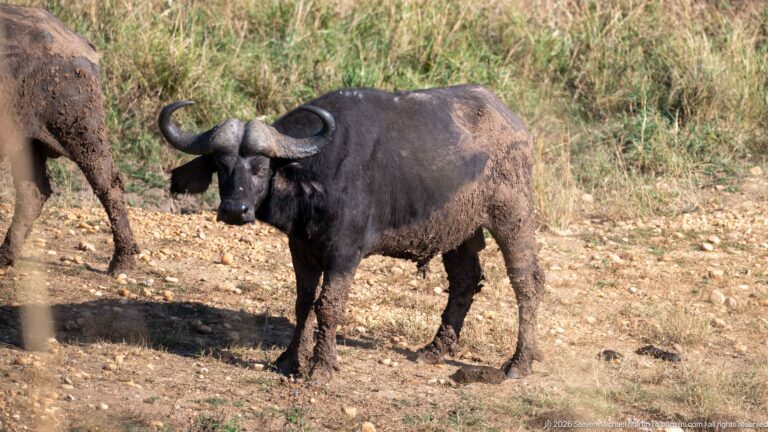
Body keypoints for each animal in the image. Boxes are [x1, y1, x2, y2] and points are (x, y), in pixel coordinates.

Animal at [0, 5, 138, 274]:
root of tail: (79, 41)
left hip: (81, 130)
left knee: (109, 185)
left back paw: (122, 262)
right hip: (27, 141)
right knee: (33, 192)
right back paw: (6, 255)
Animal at [159, 85, 543, 382]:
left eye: (260, 166)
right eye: (221, 165)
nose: (234, 210)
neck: (317, 173)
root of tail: (516, 127)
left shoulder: (344, 252)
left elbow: (329, 305)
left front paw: (321, 368)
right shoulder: (300, 247)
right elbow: (303, 302)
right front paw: (289, 359)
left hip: (513, 216)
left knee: (527, 283)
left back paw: (518, 363)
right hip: (458, 231)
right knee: (466, 280)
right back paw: (434, 350)